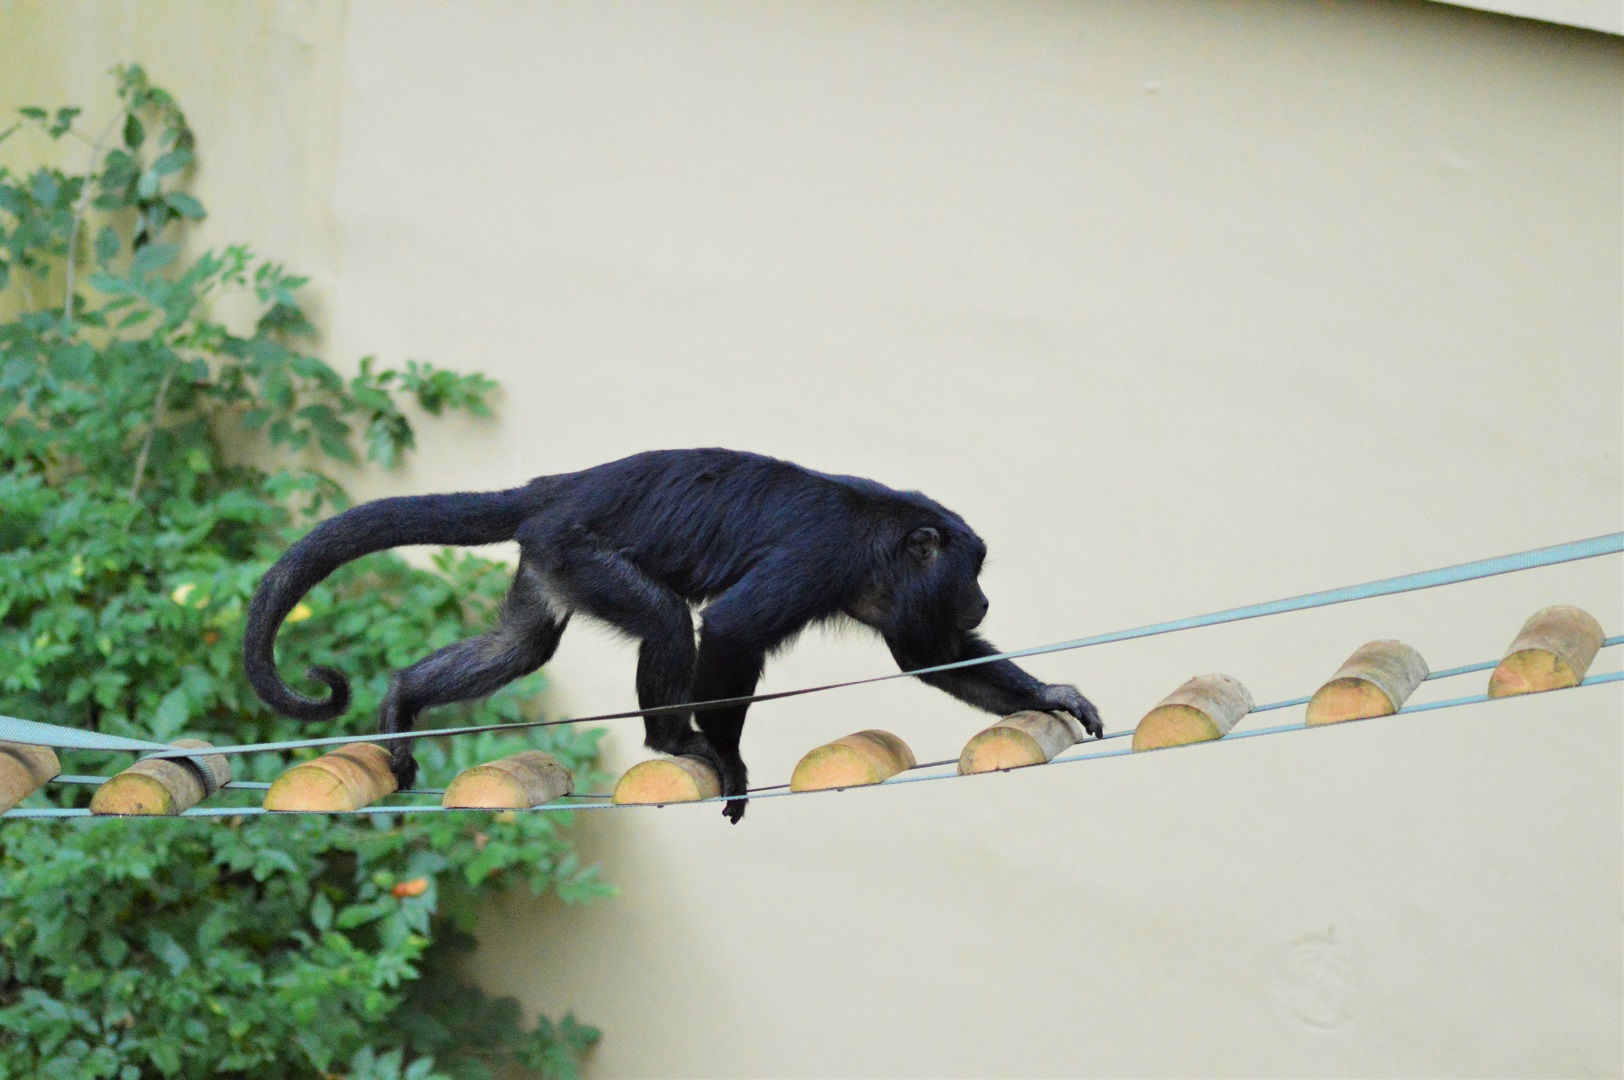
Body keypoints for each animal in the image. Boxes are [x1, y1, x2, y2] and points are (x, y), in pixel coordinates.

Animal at [243, 448, 1102, 823]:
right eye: (972, 570)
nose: (982, 599)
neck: (881, 540)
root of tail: (558, 486)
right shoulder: (818, 559)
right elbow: (728, 627)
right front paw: (727, 759)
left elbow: (932, 657)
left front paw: (1054, 693)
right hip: (577, 546)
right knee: (661, 618)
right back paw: (672, 741)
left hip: (549, 554)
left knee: (523, 645)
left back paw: (400, 700)